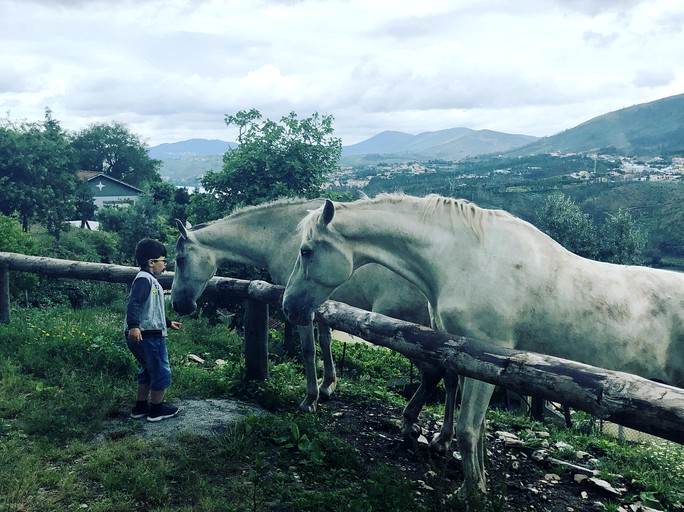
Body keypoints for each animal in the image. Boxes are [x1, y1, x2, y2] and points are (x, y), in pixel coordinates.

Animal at [171, 198, 460, 442]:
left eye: (180, 259)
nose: (176, 304)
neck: (281, 236)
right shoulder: (319, 305)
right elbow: (326, 340)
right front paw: (328, 386)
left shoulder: (303, 310)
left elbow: (309, 350)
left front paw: (310, 399)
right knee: (452, 377)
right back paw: (444, 437)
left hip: (410, 333)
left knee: (434, 372)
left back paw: (412, 422)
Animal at [282, 194, 684, 502]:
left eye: (306, 250)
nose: (289, 306)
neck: (467, 259)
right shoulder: (469, 359)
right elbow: (475, 425)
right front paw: (477, 476)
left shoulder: (485, 358)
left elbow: (467, 429)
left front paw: (471, 492)